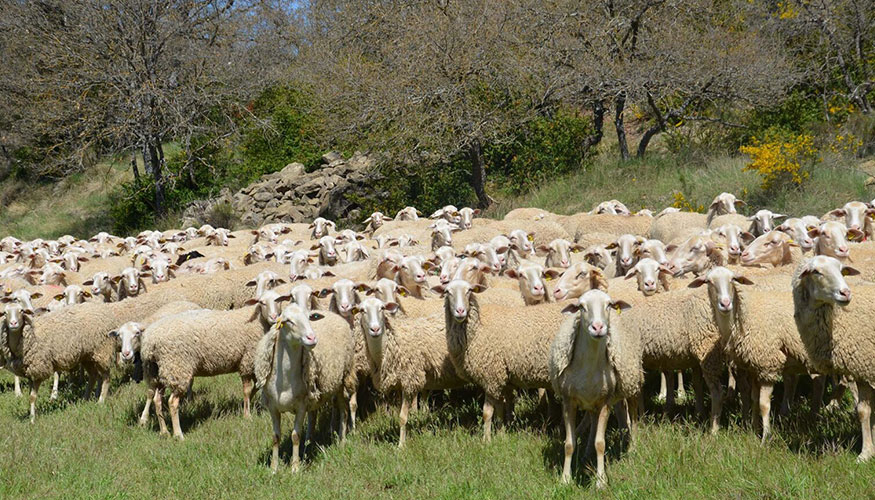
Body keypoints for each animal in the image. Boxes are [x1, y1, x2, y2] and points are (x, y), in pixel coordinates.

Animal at [253, 304, 352, 472]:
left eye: (309, 318)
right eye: (288, 321)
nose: (312, 338)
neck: (285, 380)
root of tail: (331, 313)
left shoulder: (300, 406)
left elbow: (295, 436)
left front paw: (295, 468)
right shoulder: (273, 406)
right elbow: (275, 437)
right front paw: (274, 468)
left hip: (342, 380)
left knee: (343, 411)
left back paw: (342, 442)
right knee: (313, 415)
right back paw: (308, 443)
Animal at [354, 296, 468, 446]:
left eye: (382, 308)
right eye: (362, 310)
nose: (375, 329)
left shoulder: (409, 381)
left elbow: (402, 417)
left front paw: (401, 445)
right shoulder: (398, 384)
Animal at [438, 282, 568, 442]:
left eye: (469, 291)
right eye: (447, 292)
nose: (460, 311)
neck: (478, 327)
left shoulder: (491, 376)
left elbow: (487, 412)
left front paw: (486, 440)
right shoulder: (501, 376)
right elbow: (500, 408)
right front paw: (501, 434)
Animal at [552, 290, 640, 488]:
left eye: (609, 305)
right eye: (581, 307)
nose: (598, 327)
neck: (589, 366)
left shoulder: (605, 401)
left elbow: (601, 443)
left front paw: (600, 481)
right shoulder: (568, 400)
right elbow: (569, 444)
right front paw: (565, 479)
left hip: (630, 383)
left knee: (632, 415)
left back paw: (632, 449)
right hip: (593, 399)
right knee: (596, 420)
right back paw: (587, 454)